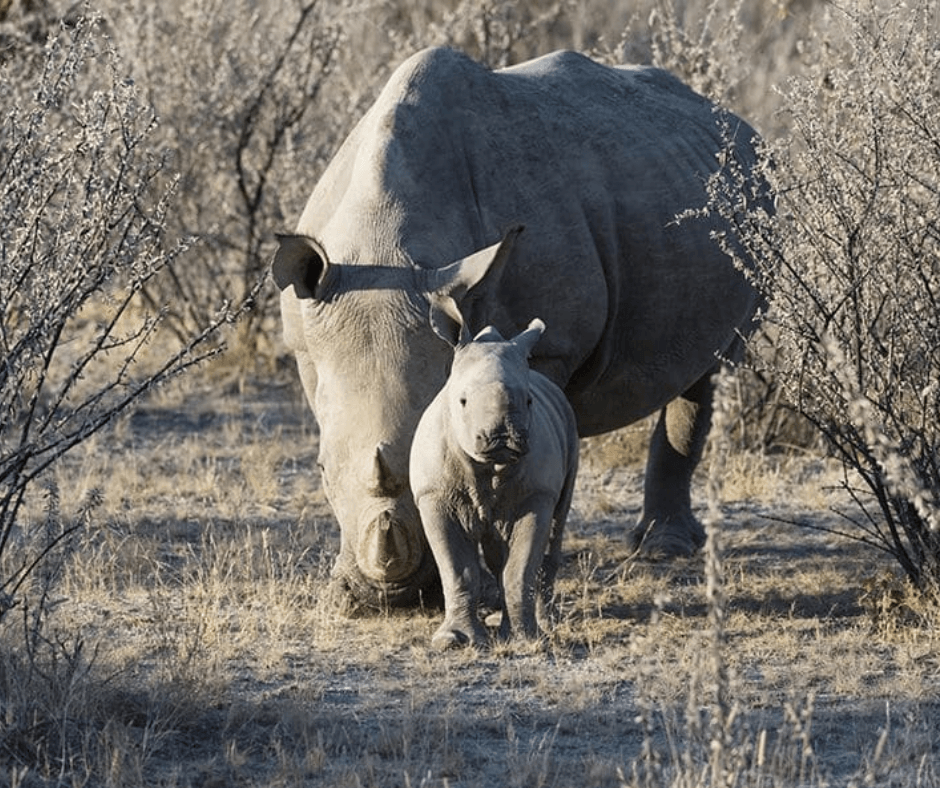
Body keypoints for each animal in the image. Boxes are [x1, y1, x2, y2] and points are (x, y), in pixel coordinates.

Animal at [272, 46, 771, 609]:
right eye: (317, 472)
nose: (394, 596)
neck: (385, 246)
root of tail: (733, 122)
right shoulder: (310, 348)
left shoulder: (551, 347)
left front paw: (496, 588)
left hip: (753, 199)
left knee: (713, 367)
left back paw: (663, 548)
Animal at [410, 299, 579, 648]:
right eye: (462, 401)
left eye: (528, 401)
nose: (502, 436)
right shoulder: (434, 496)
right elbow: (457, 569)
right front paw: (453, 640)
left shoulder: (536, 495)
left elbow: (521, 567)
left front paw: (525, 641)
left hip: (569, 425)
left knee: (556, 525)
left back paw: (547, 624)